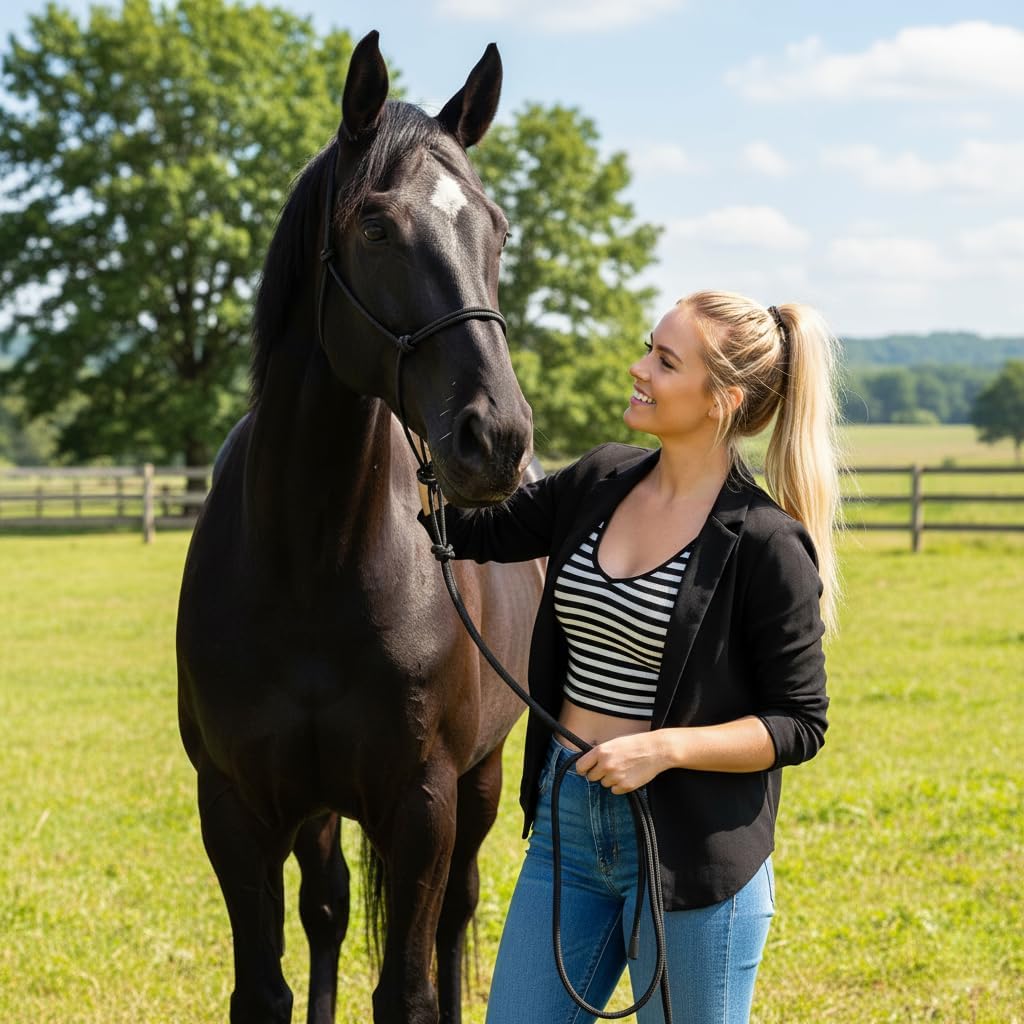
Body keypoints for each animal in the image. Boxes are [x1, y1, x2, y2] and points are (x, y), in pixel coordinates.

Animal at [176, 32, 543, 1024]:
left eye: (497, 229)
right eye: (376, 228)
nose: (496, 437)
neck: (313, 561)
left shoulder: (422, 805)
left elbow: (408, 989)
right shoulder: (238, 809)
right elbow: (267, 985)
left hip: (482, 780)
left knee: (457, 913)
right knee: (330, 908)